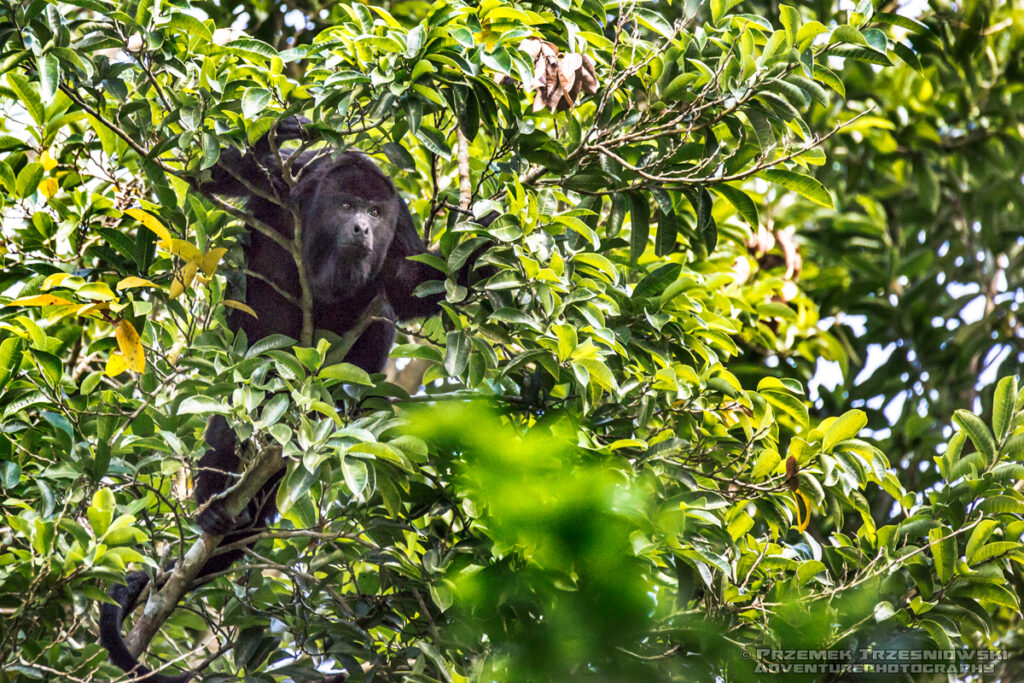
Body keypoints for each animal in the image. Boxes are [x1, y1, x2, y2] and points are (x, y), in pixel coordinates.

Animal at [97, 120, 489, 679]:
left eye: (375, 214)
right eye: (347, 206)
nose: (362, 229)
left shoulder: (401, 224)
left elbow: (410, 289)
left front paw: (487, 244)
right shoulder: (298, 177)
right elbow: (213, 174)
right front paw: (275, 133)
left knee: (381, 316)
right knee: (234, 417)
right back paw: (211, 510)